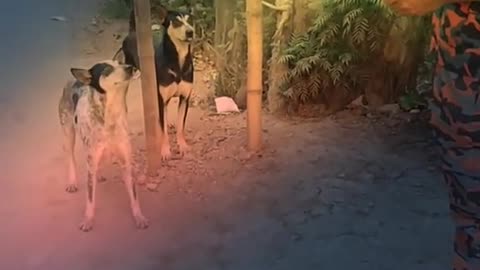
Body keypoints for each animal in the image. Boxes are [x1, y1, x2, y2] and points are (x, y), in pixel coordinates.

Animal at [58, 58, 148, 231]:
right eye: (107, 70)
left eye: (120, 63)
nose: (130, 67)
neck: (110, 114)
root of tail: (74, 80)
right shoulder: (90, 157)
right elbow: (90, 198)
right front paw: (88, 219)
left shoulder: (126, 162)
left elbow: (134, 196)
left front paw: (139, 217)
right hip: (68, 133)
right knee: (71, 157)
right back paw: (72, 182)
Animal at [114, 4, 195, 160]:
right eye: (176, 22)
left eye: (191, 20)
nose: (190, 32)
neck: (178, 61)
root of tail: (132, 32)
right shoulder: (161, 99)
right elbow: (163, 131)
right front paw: (165, 150)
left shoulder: (184, 98)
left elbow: (180, 126)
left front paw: (182, 146)